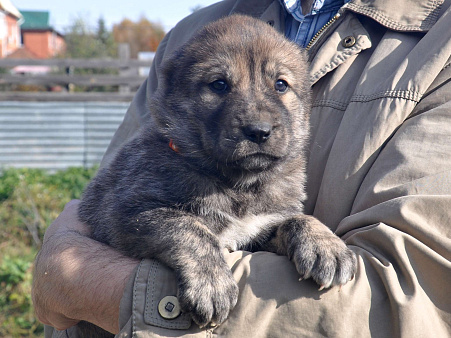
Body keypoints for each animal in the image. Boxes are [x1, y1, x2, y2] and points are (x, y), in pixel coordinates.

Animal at [79, 14, 358, 328]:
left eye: (281, 85)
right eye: (219, 85)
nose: (259, 131)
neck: (238, 183)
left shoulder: (261, 229)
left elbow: (295, 219)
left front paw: (325, 245)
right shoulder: (124, 212)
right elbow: (189, 228)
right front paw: (211, 284)